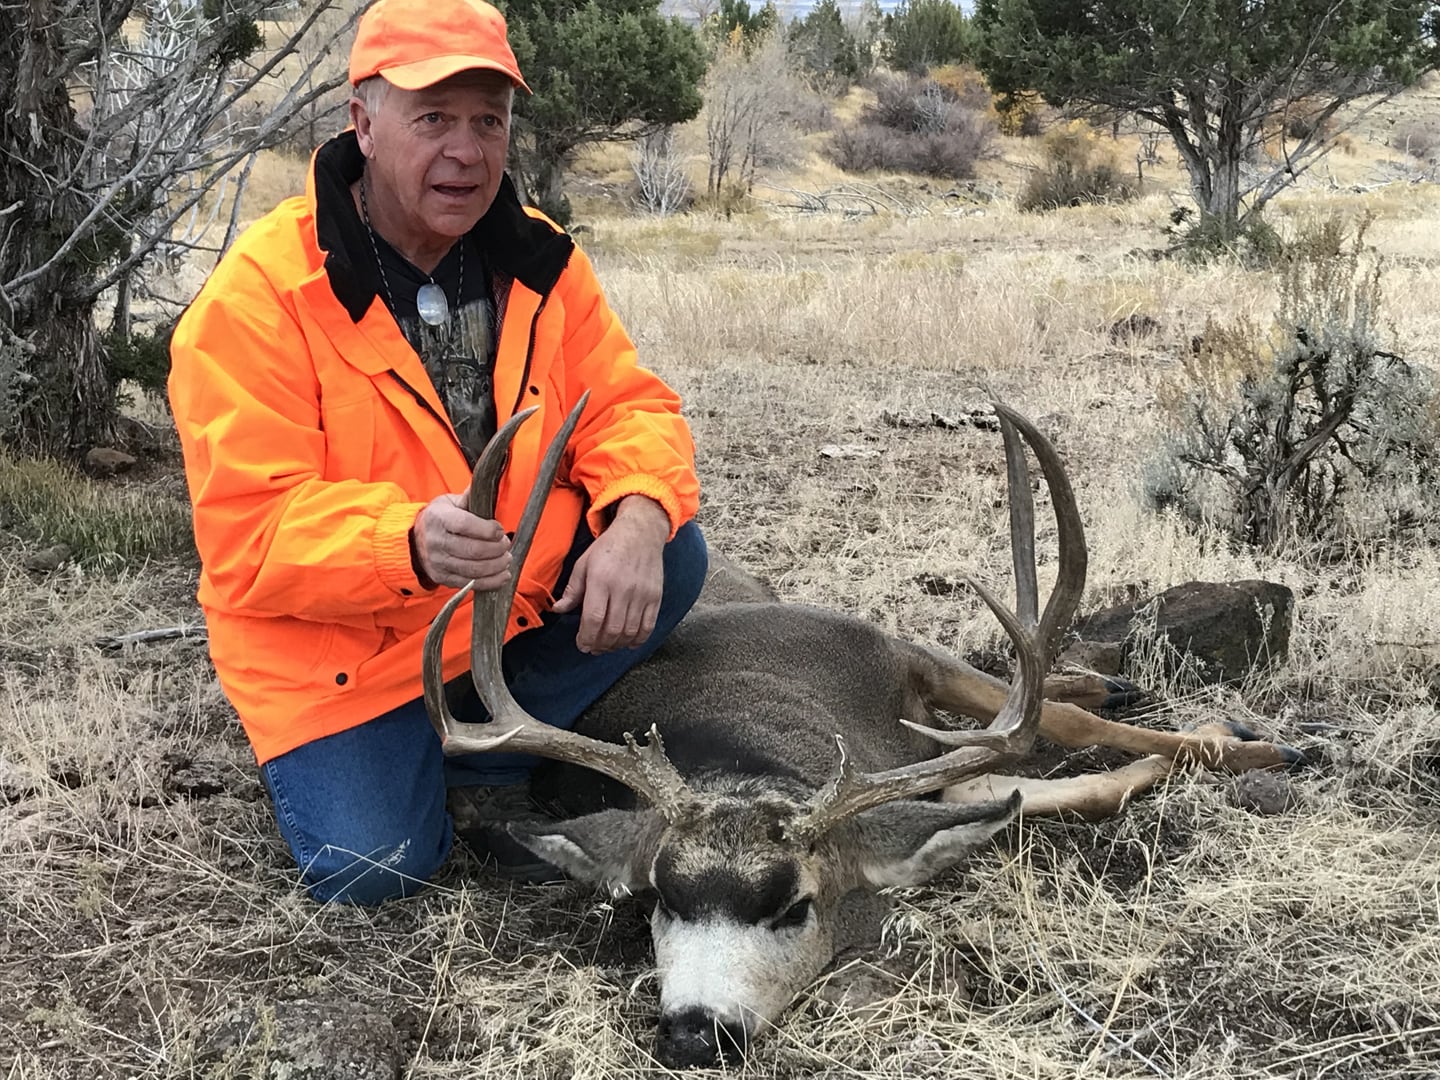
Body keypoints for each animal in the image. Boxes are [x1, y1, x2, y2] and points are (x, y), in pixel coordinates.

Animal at [422, 393, 1301, 1069]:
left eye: (794, 906)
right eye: (660, 901)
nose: (694, 1035)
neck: (753, 751)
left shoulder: (893, 656)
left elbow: (1054, 728)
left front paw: (1256, 742)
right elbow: (1036, 787)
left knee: (1037, 691)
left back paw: (1143, 694)